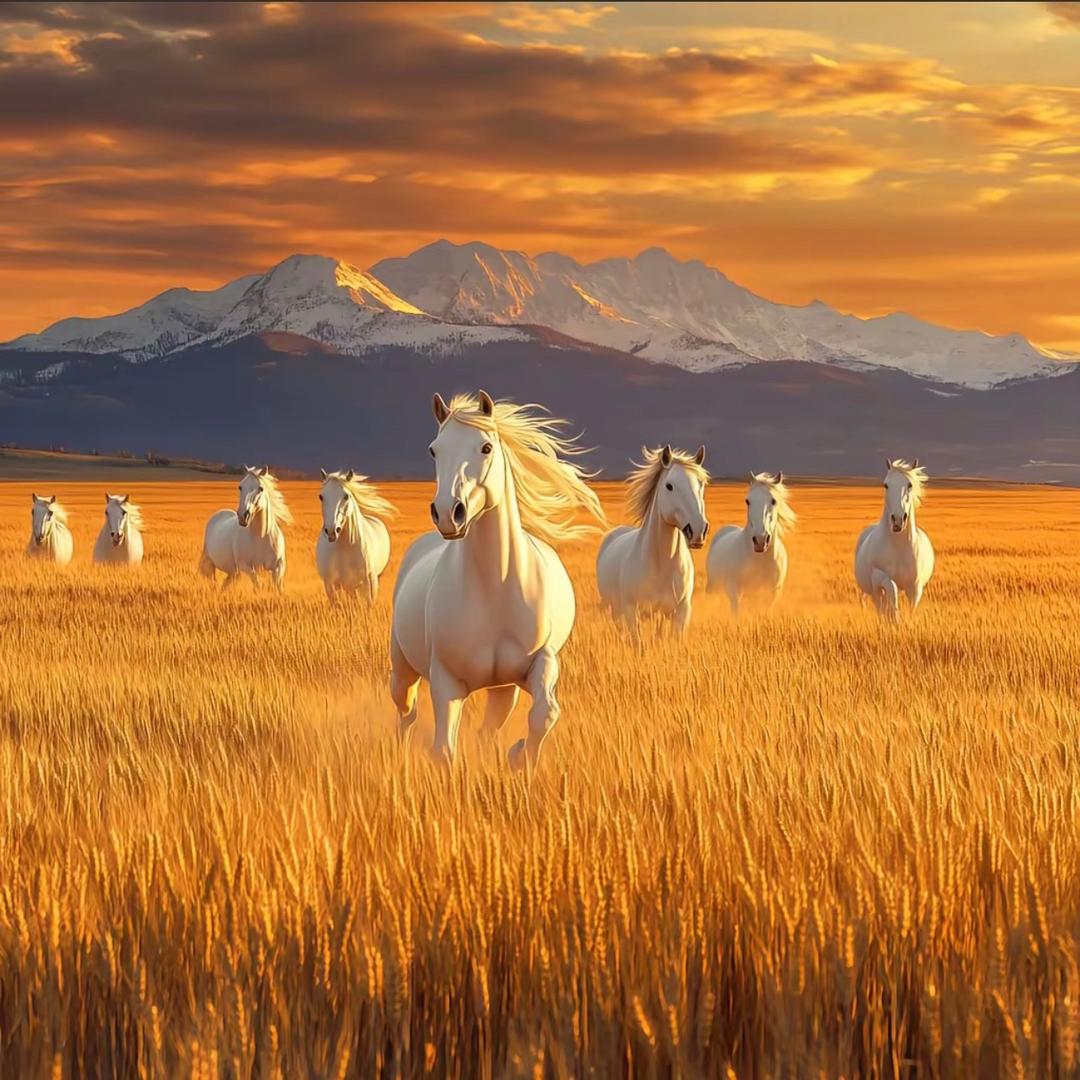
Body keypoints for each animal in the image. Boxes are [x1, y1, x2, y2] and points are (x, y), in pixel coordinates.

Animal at [389, 389, 605, 770]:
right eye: (434, 450)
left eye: (486, 447)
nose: (448, 514)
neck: (496, 589)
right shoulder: (446, 682)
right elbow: (444, 749)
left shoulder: (539, 664)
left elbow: (545, 714)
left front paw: (520, 755)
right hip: (403, 670)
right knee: (406, 712)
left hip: (503, 690)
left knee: (487, 729)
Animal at [595, 444, 708, 635]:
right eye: (669, 486)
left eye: (701, 484)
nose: (698, 529)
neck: (661, 566)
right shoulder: (632, 613)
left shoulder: (681, 613)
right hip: (616, 611)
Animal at [706, 472, 795, 615]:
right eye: (747, 501)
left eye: (774, 501)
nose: (760, 540)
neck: (759, 560)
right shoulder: (734, 592)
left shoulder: (772, 593)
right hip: (714, 587)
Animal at [854, 458, 935, 620]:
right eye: (886, 485)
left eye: (910, 485)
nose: (897, 520)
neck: (898, 548)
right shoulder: (879, 576)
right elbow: (892, 590)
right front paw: (895, 619)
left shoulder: (915, 586)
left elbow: (911, 608)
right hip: (872, 590)